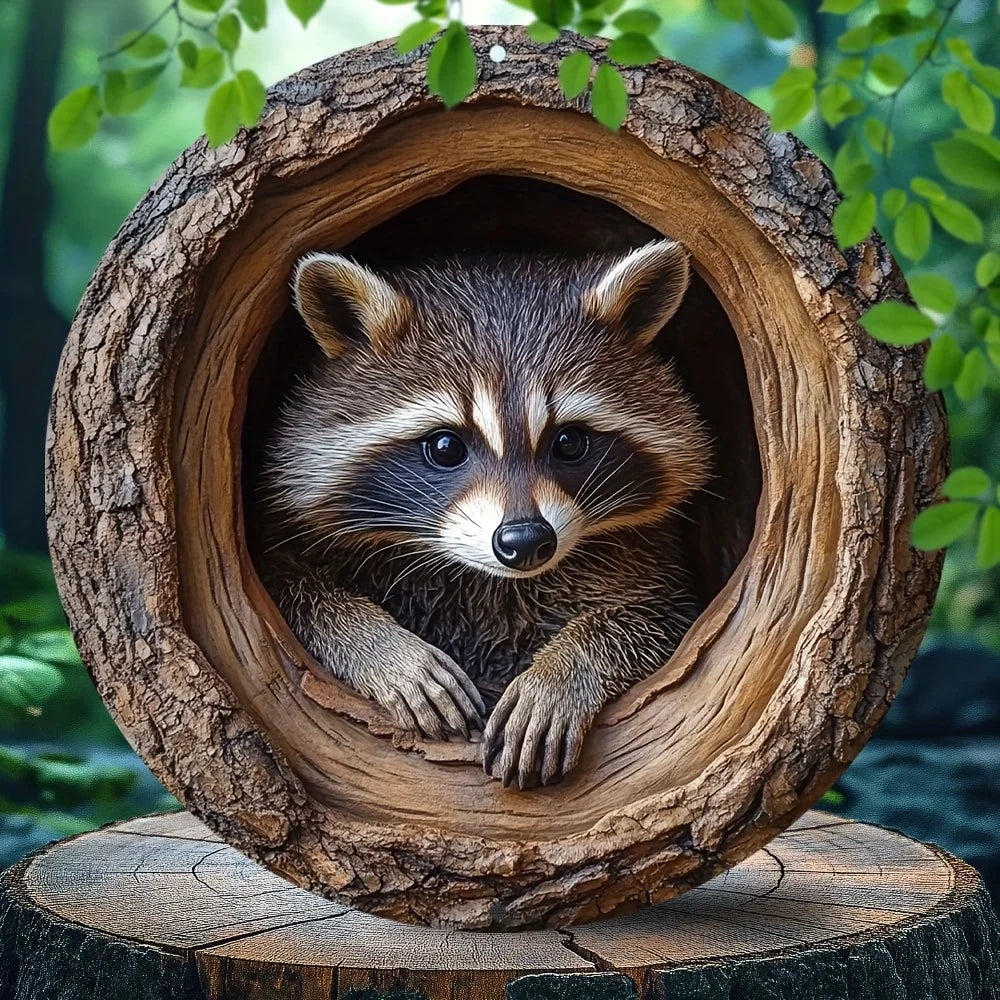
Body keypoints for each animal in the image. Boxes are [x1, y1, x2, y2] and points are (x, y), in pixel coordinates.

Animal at [259, 241, 712, 790]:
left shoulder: (645, 561)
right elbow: (293, 589)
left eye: (569, 442)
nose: (525, 541)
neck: (490, 580)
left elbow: (653, 617)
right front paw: (384, 648)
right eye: (446, 446)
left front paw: (562, 672)